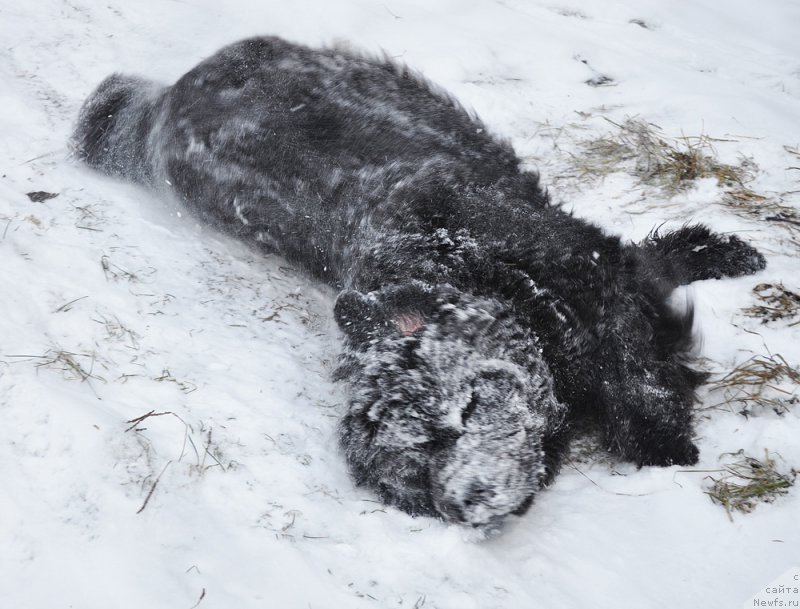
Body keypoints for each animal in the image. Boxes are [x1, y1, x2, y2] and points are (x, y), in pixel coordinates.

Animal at [72, 35, 764, 528]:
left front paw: (666, 438)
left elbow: (637, 365)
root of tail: (164, 102)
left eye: (465, 413)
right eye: (419, 458)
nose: (465, 500)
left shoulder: (589, 278)